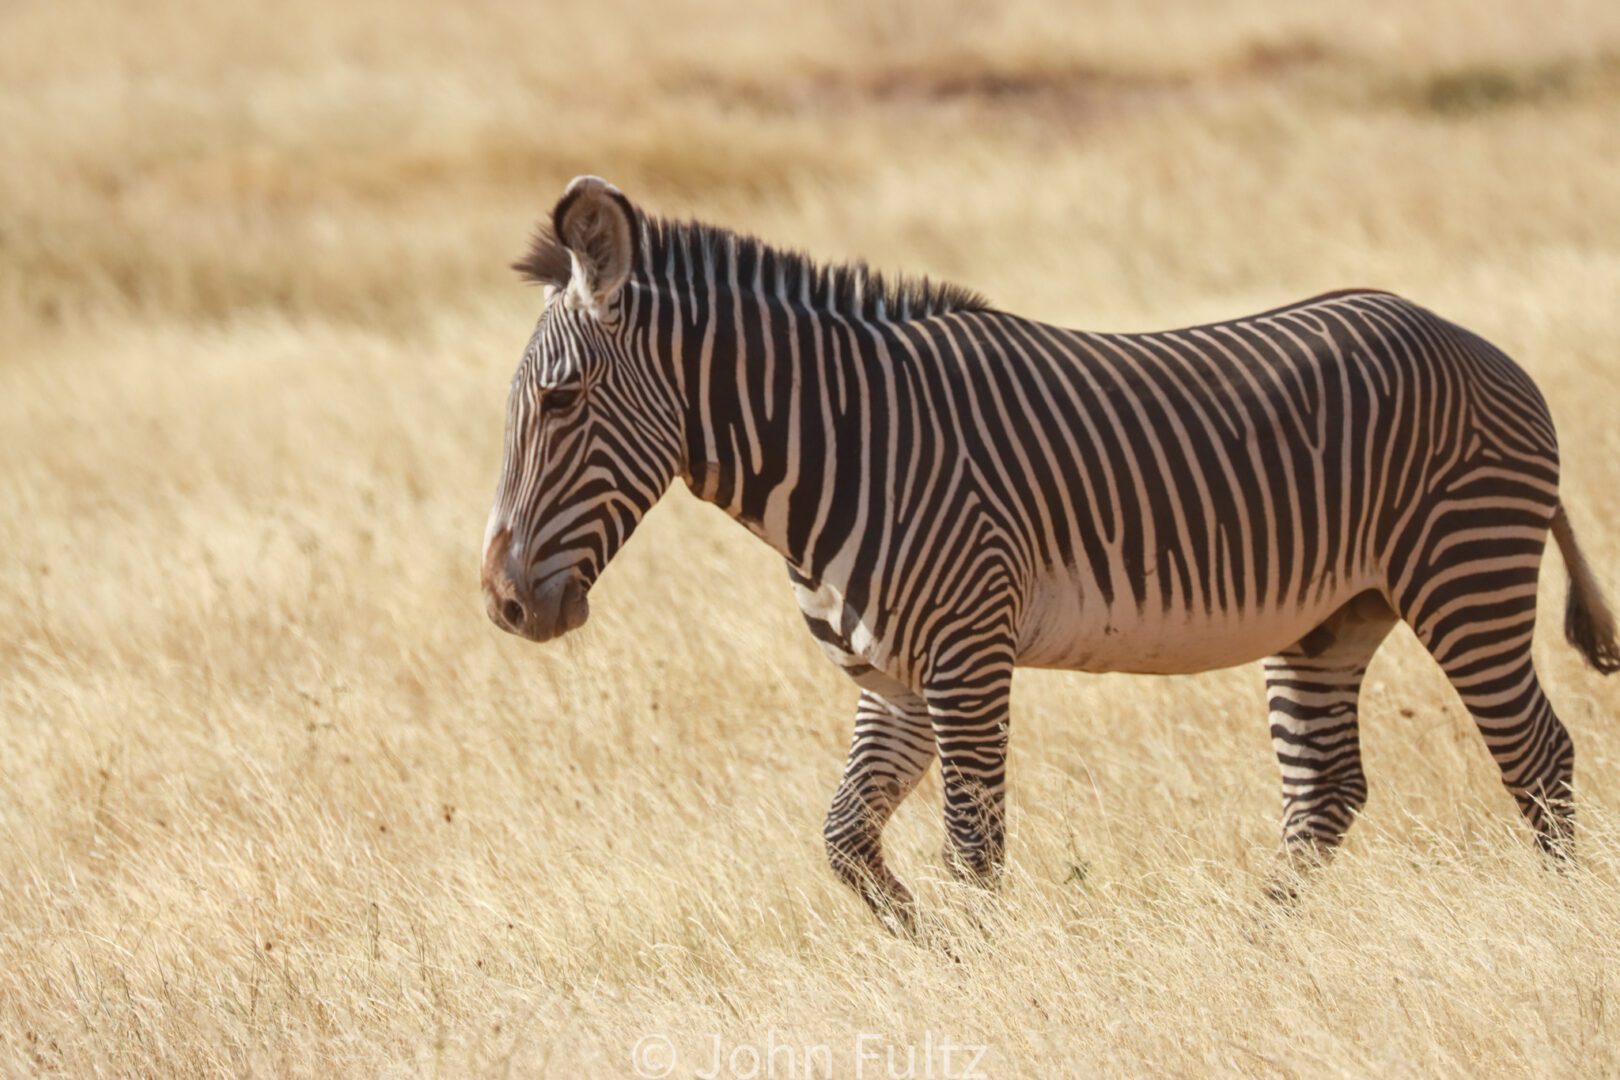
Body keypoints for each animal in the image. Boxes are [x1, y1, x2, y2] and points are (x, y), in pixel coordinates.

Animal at [479, 175, 1620, 932]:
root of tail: (1482, 347)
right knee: (1326, 791)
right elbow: (847, 842)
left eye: (561, 401)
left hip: (1464, 571)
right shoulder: (892, 679)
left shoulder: (967, 654)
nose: (500, 604)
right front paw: (927, 948)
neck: (851, 444)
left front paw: (987, 970)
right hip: (1331, 617)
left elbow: (972, 845)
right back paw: (1257, 940)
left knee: (1537, 757)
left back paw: (1559, 918)